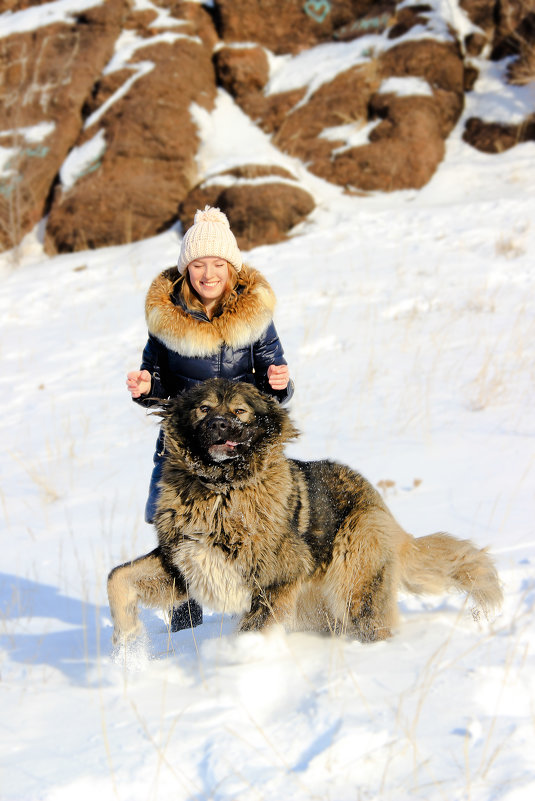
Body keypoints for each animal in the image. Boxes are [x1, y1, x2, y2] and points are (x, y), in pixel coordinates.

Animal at [108, 376, 502, 644]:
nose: (219, 424)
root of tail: (380, 505)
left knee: (369, 619)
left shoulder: (280, 573)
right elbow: (118, 578)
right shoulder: (184, 562)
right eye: (203, 408)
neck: (220, 490)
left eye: (239, 412)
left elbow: (253, 626)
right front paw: (128, 643)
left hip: (354, 579)